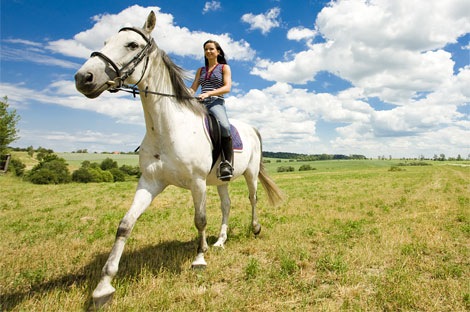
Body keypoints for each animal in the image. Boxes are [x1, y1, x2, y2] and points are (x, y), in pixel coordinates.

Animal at [73, 11, 282, 304]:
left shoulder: (197, 182)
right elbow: (125, 225)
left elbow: (200, 219)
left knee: (253, 199)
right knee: (227, 205)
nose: (84, 77)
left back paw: (254, 228)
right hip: (221, 180)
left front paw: (199, 259)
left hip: (250, 174)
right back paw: (220, 241)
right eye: (105, 41)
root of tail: (251, 128)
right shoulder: (150, 182)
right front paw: (104, 286)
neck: (167, 128)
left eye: (132, 45)